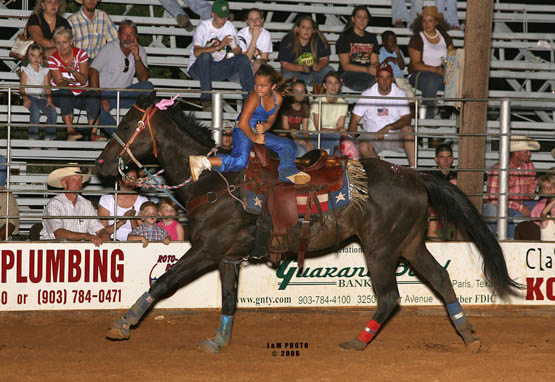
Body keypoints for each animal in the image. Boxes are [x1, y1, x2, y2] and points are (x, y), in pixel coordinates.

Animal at [94, 92, 520, 352]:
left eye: (129, 124)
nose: (101, 163)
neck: (213, 181)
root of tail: (414, 176)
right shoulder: (228, 257)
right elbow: (229, 298)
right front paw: (219, 341)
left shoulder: (207, 249)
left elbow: (163, 282)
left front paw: (123, 324)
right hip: (411, 243)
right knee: (441, 278)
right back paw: (468, 335)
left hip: (381, 248)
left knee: (390, 297)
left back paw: (358, 341)